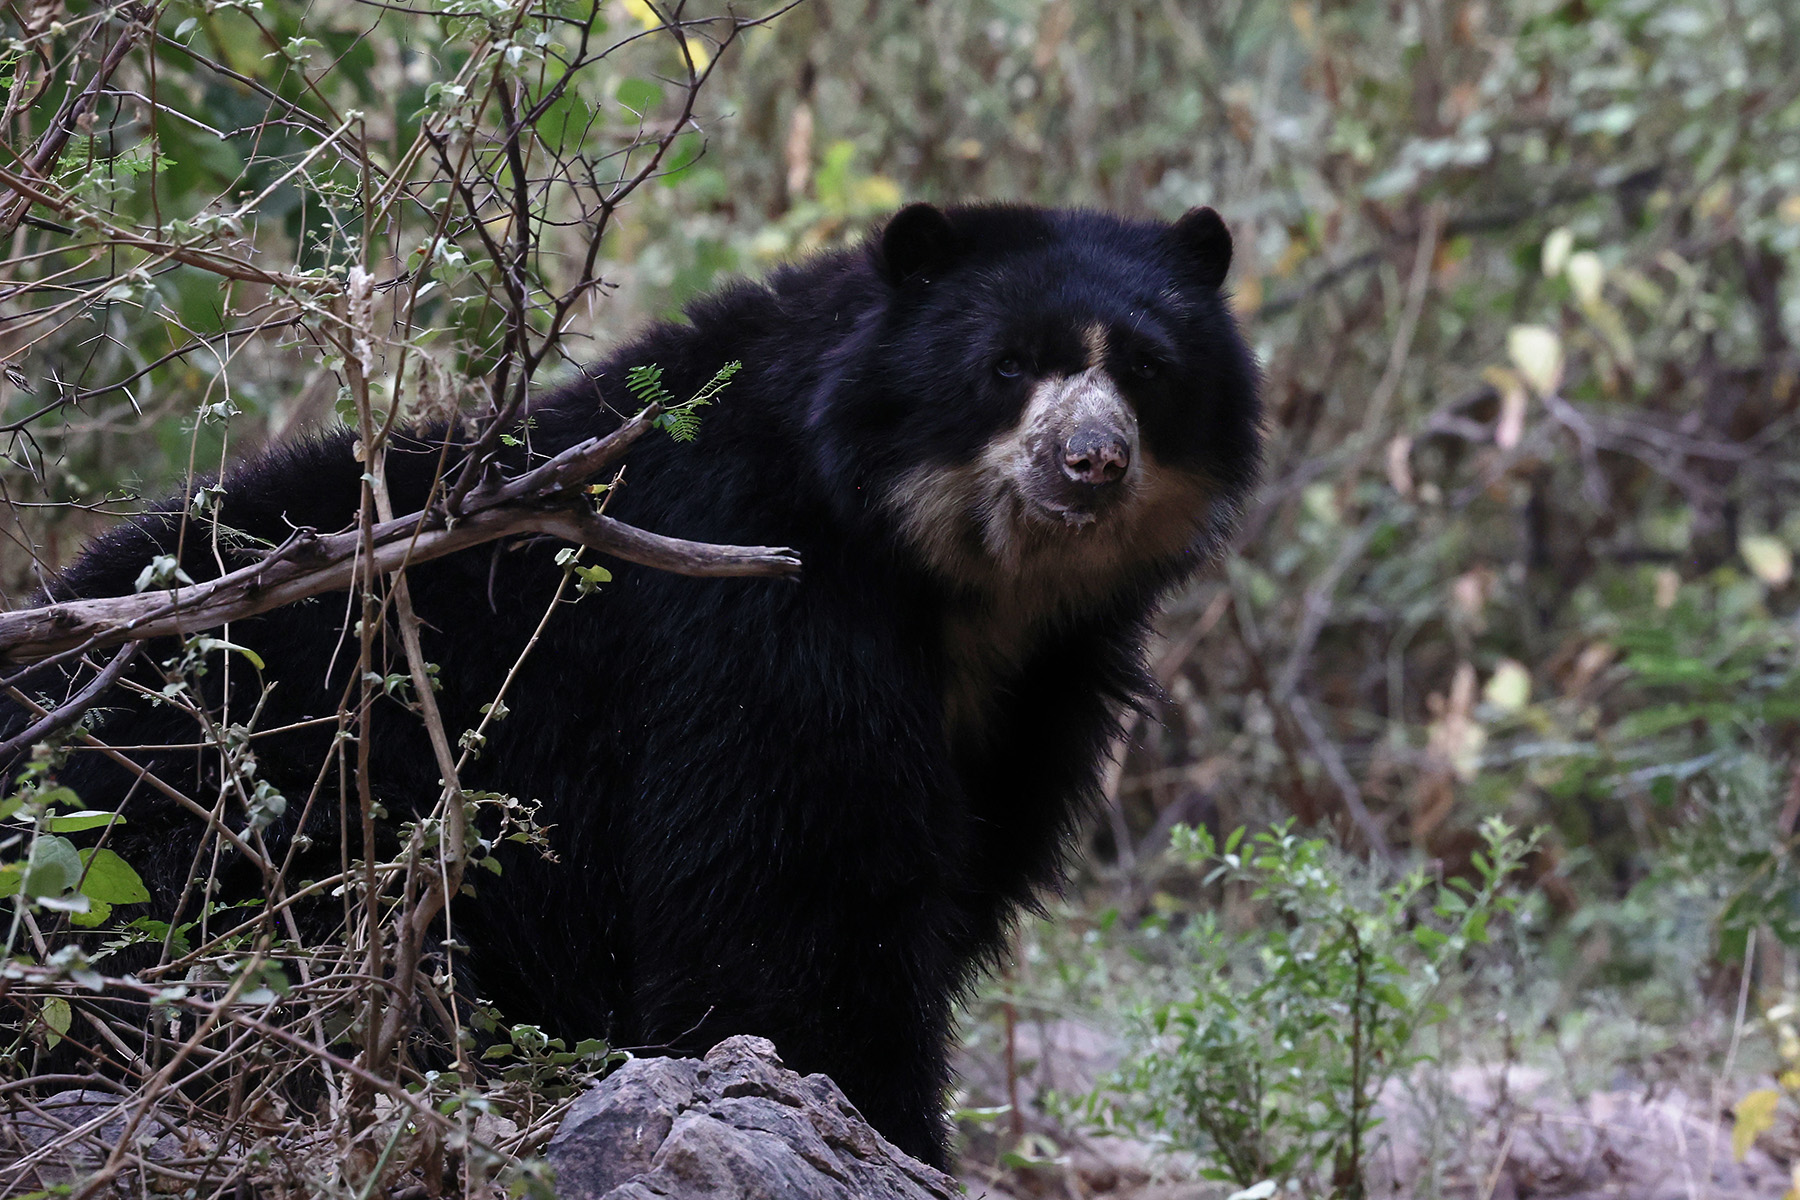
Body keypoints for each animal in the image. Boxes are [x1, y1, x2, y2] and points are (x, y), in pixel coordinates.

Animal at [0, 202, 1260, 1167]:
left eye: (1148, 371)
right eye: (1006, 368)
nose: (1091, 463)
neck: (956, 580)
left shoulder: (1033, 694)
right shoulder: (754, 601)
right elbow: (790, 888)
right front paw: (881, 1124)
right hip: (182, 822)